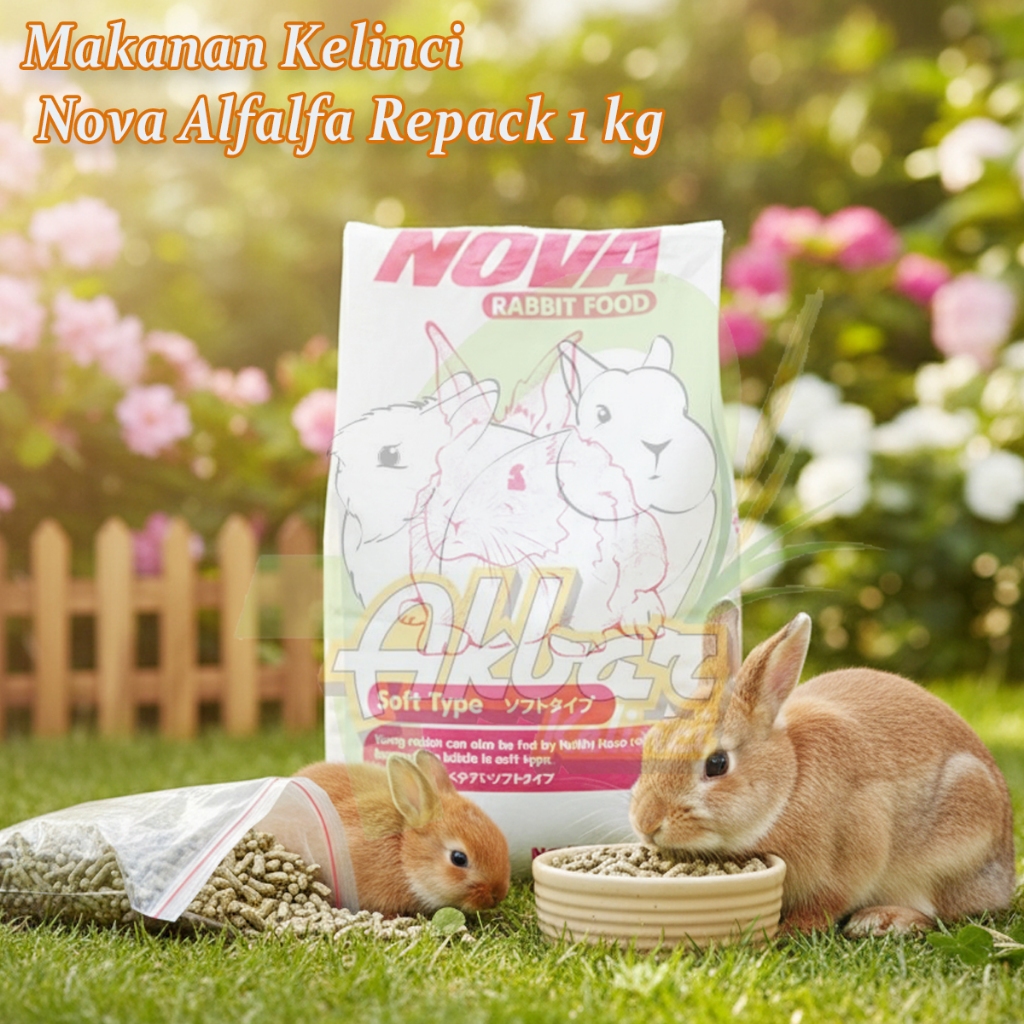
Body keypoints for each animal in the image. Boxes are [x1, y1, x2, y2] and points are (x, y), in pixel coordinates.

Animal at [629, 609, 1016, 937]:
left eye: (717, 764)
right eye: (650, 742)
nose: (647, 823)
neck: (789, 782)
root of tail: (1005, 876)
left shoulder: (852, 853)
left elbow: (827, 904)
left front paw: (789, 930)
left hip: (954, 843)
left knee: (941, 913)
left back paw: (881, 921)